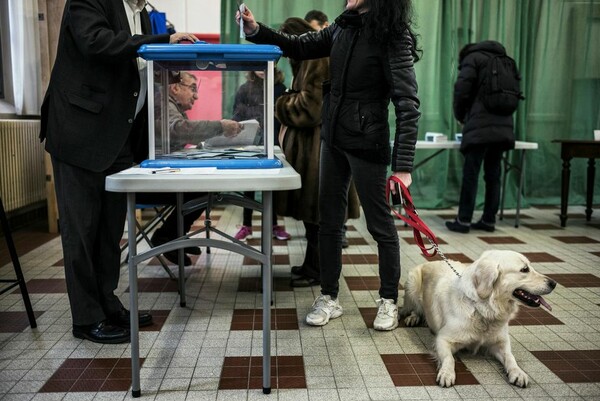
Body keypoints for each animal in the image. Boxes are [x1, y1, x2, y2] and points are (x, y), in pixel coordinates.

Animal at [398, 250, 556, 388]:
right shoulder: (443, 339)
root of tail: (430, 262)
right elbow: (449, 359)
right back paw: (413, 317)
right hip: (412, 284)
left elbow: (510, 357)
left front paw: (518, 373)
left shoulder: (500, 342)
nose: (553, 283)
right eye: (524, 269)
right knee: (414, 308)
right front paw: (447, 374)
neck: (481, 308)